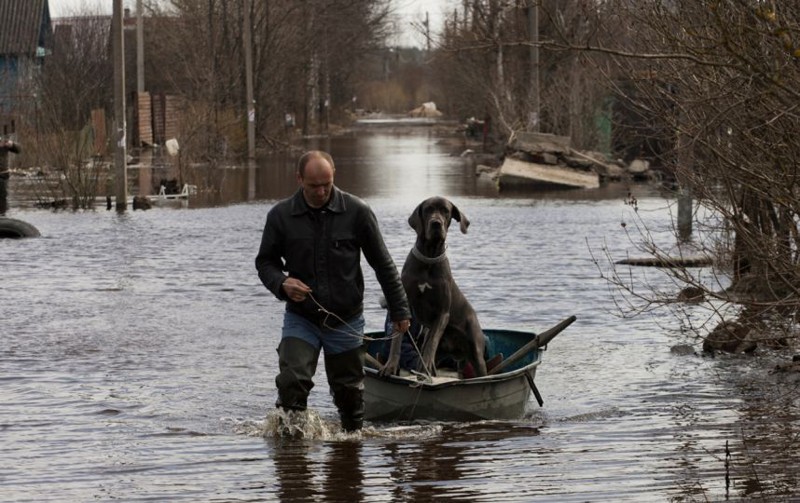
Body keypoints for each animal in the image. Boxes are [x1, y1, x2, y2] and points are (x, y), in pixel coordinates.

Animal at [382, 197, 488, 378]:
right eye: (428, 209)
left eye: (445, 210)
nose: (436, 223)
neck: (428, 258)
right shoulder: (404, 305)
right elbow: (397, 338)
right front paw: (391, 366)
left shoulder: (442, 312)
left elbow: (432, 342)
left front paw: (426, 367)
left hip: (476, 351)